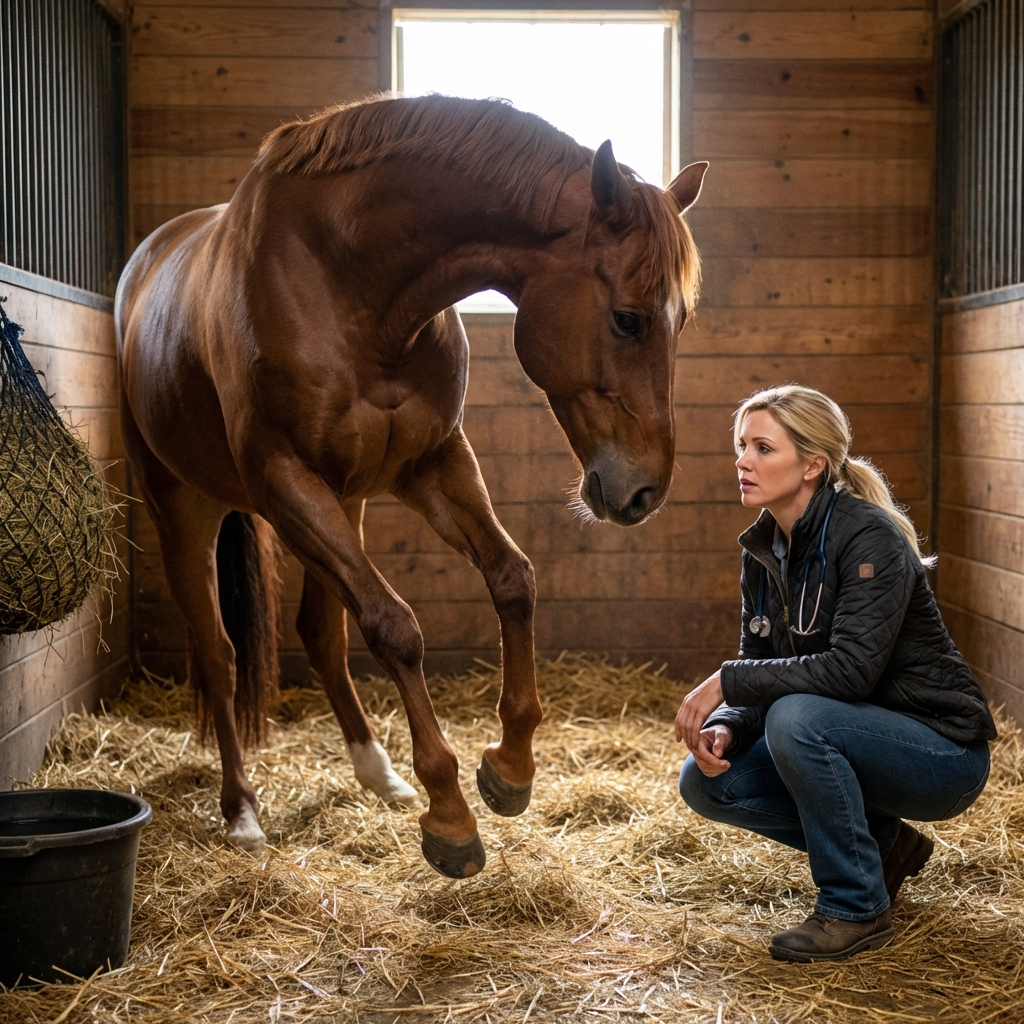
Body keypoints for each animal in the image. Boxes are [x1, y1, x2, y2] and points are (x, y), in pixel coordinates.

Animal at [115, 95, 706, 878]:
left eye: (682, 319)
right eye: (627, 318)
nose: (644, 493)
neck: (345, 278)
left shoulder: (432, 464)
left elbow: (512, 578)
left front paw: (509, 767)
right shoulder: (284, 481)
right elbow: (396, 628)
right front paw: (449, 812)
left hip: (345, 502)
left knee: (322, 633)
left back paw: (379, 774)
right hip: (188, 509)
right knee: (218, 654)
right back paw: (241, 810)